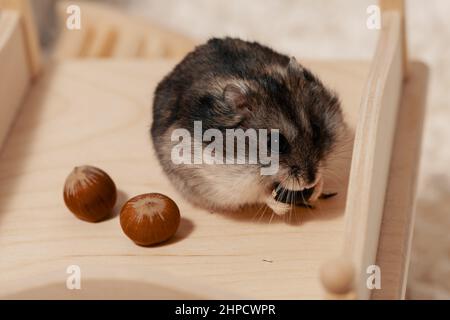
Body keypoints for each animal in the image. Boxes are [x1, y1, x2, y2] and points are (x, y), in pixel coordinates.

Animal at [151, 38, 344, 216]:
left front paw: (316, 190)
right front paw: (284, 208)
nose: (310, 181)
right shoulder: (228, 184)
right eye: (276, 143)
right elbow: (262, 195)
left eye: (316, 128)